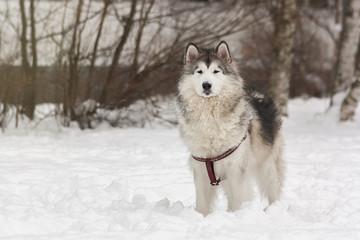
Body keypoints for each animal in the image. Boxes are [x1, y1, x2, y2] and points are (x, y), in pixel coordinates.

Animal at [176, 40, 284, 216]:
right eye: (199, 71)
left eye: (216, 71)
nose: (207, 85)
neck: (210, 116)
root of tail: (259, 94)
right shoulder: (201, 169)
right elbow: (202, 203)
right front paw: (201, 217)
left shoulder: (236, 168)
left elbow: (238, 200)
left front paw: (236, 216)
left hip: (267, 165)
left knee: (273, 189)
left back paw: (274, 210)